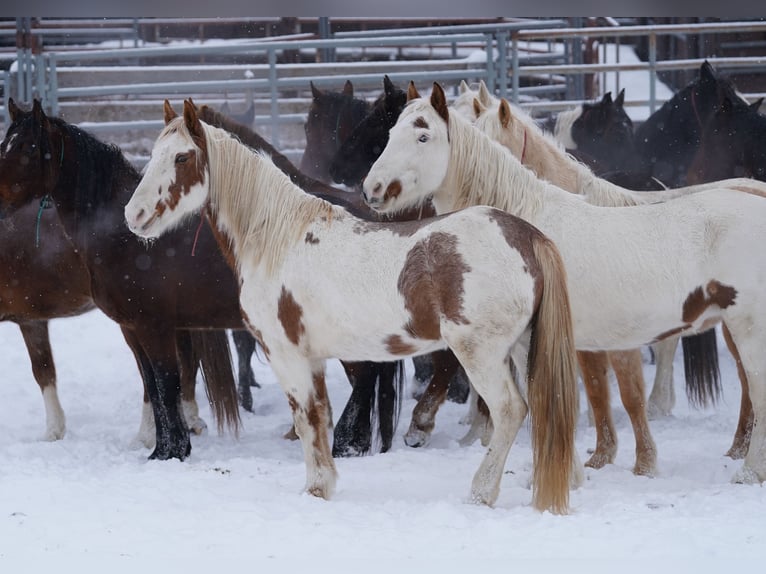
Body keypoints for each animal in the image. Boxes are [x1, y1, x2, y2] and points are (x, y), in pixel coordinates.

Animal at [126, 97, 584, 516]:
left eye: (182, 156)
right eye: (154, 154)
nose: (134, 214)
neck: (279, 239)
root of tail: (527, 235)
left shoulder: (287, 356)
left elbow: (307, 420)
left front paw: (315, 489)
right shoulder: (313, 359)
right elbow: (320, 418)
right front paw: (325, 483)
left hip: (481, 355)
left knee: (510, 411)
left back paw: (481, 492)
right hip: (523, 350)